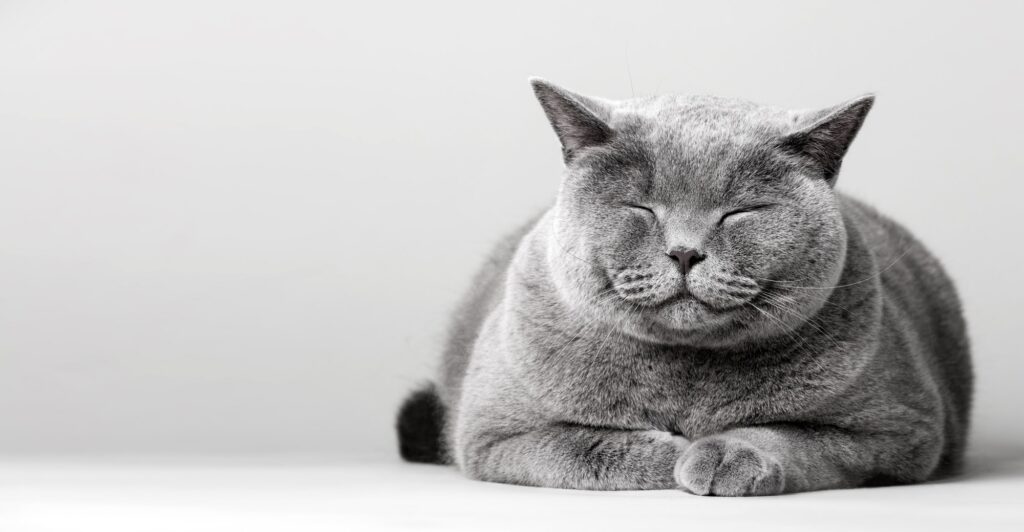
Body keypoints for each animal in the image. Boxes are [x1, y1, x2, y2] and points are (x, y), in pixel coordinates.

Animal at [395, 77, 970, 495]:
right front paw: (671, 452)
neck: (686, 377)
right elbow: (579, 445)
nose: (685, 251)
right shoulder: (492, 433)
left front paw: (722, 454)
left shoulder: (901, 433)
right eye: (641, 207)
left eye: (740, 212)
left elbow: (796, 436)